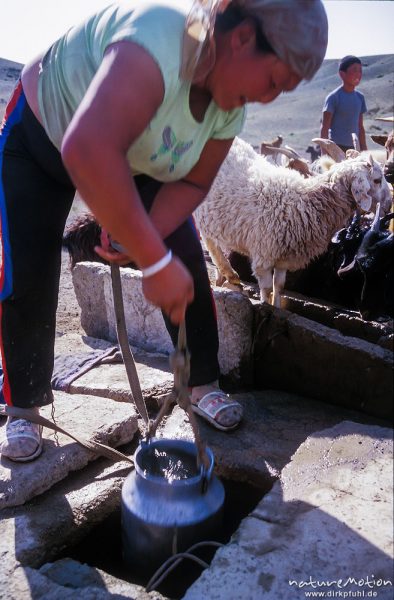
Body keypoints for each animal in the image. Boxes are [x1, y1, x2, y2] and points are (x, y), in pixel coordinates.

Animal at [194, 135, 390, 304]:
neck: (305, 201)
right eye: (377, 180)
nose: (389, 203)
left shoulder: (284, 257)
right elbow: (266, 289)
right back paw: (230, 274)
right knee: (209, 241)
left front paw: (276, 306)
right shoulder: (264, 257)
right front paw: (265, 307)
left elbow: (279, 287)